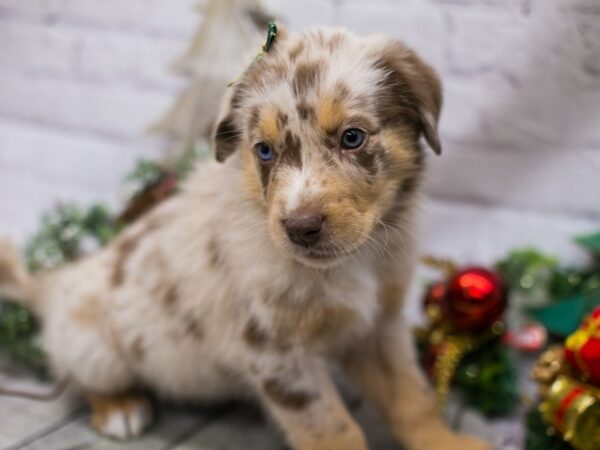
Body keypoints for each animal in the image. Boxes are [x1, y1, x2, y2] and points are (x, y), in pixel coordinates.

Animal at [1, 27, 492, 450]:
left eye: (352, 137)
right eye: (264, 151)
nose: (300, 228)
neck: (352, 266)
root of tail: (55, 284)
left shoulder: (380, 326)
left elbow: (413, 400)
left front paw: (449, 444)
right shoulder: (277, 352)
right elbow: (335, 430)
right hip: (93, 346)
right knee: (80, 378)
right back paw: (120, 408)